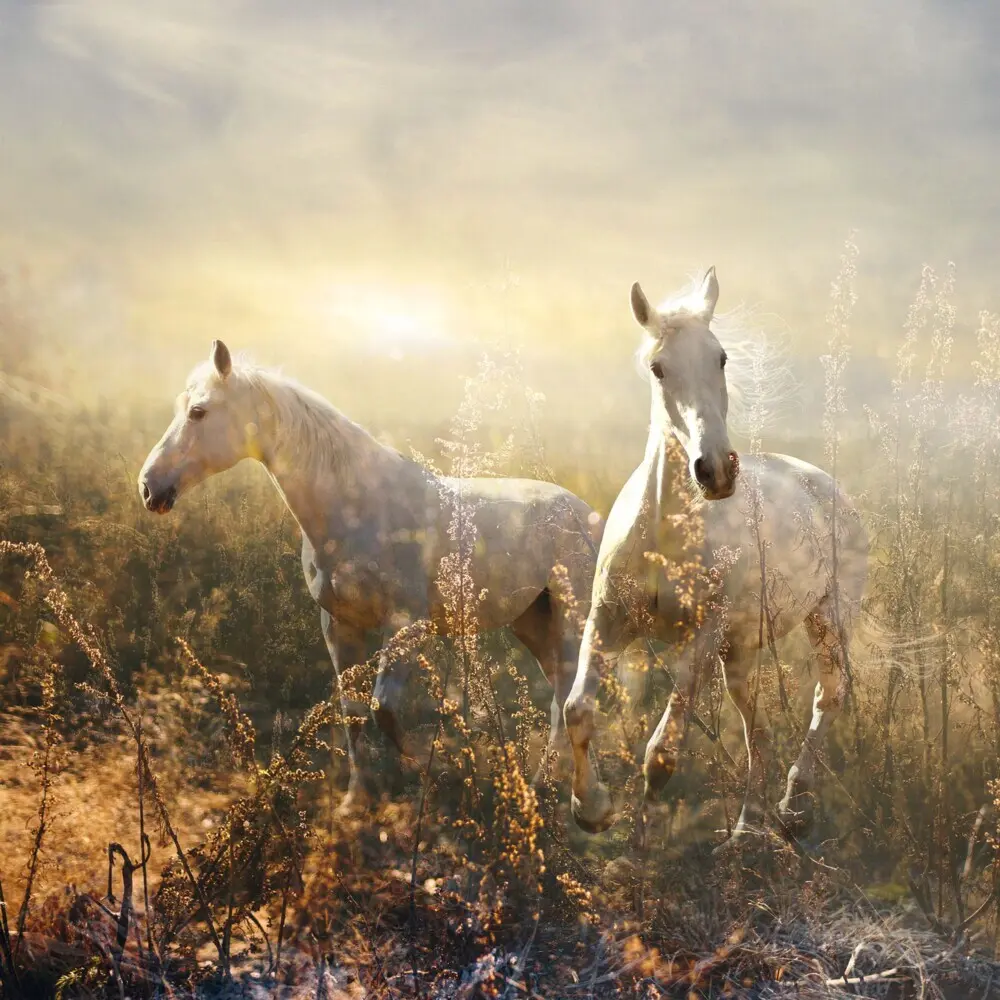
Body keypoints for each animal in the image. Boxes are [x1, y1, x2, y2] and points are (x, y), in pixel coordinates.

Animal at [138, 341, 601, 813]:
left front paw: (430, 776)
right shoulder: (340, 625)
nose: (149, 488)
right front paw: (355, 800)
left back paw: (563, 797)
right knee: (562, 695)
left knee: (570, 698)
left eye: (199, 411)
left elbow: (383, 708)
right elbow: (354, 711)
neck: (358, 507)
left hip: (571, 621)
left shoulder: (406, 625)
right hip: (532, 624)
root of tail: (586, 513)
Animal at [562, 267, 869, 845]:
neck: (664, 537)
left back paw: (793, 806)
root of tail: (827, 486)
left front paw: (643, 839)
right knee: (758, 731)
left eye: (721, 358)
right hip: (741, 655)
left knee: (829, 697)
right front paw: (591, 809)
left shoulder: (701, 639)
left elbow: (662, 752)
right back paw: (748, 829)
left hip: (828, 619)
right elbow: (577, 710)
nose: (717, 470)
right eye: (658, 368)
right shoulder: (607, 621)